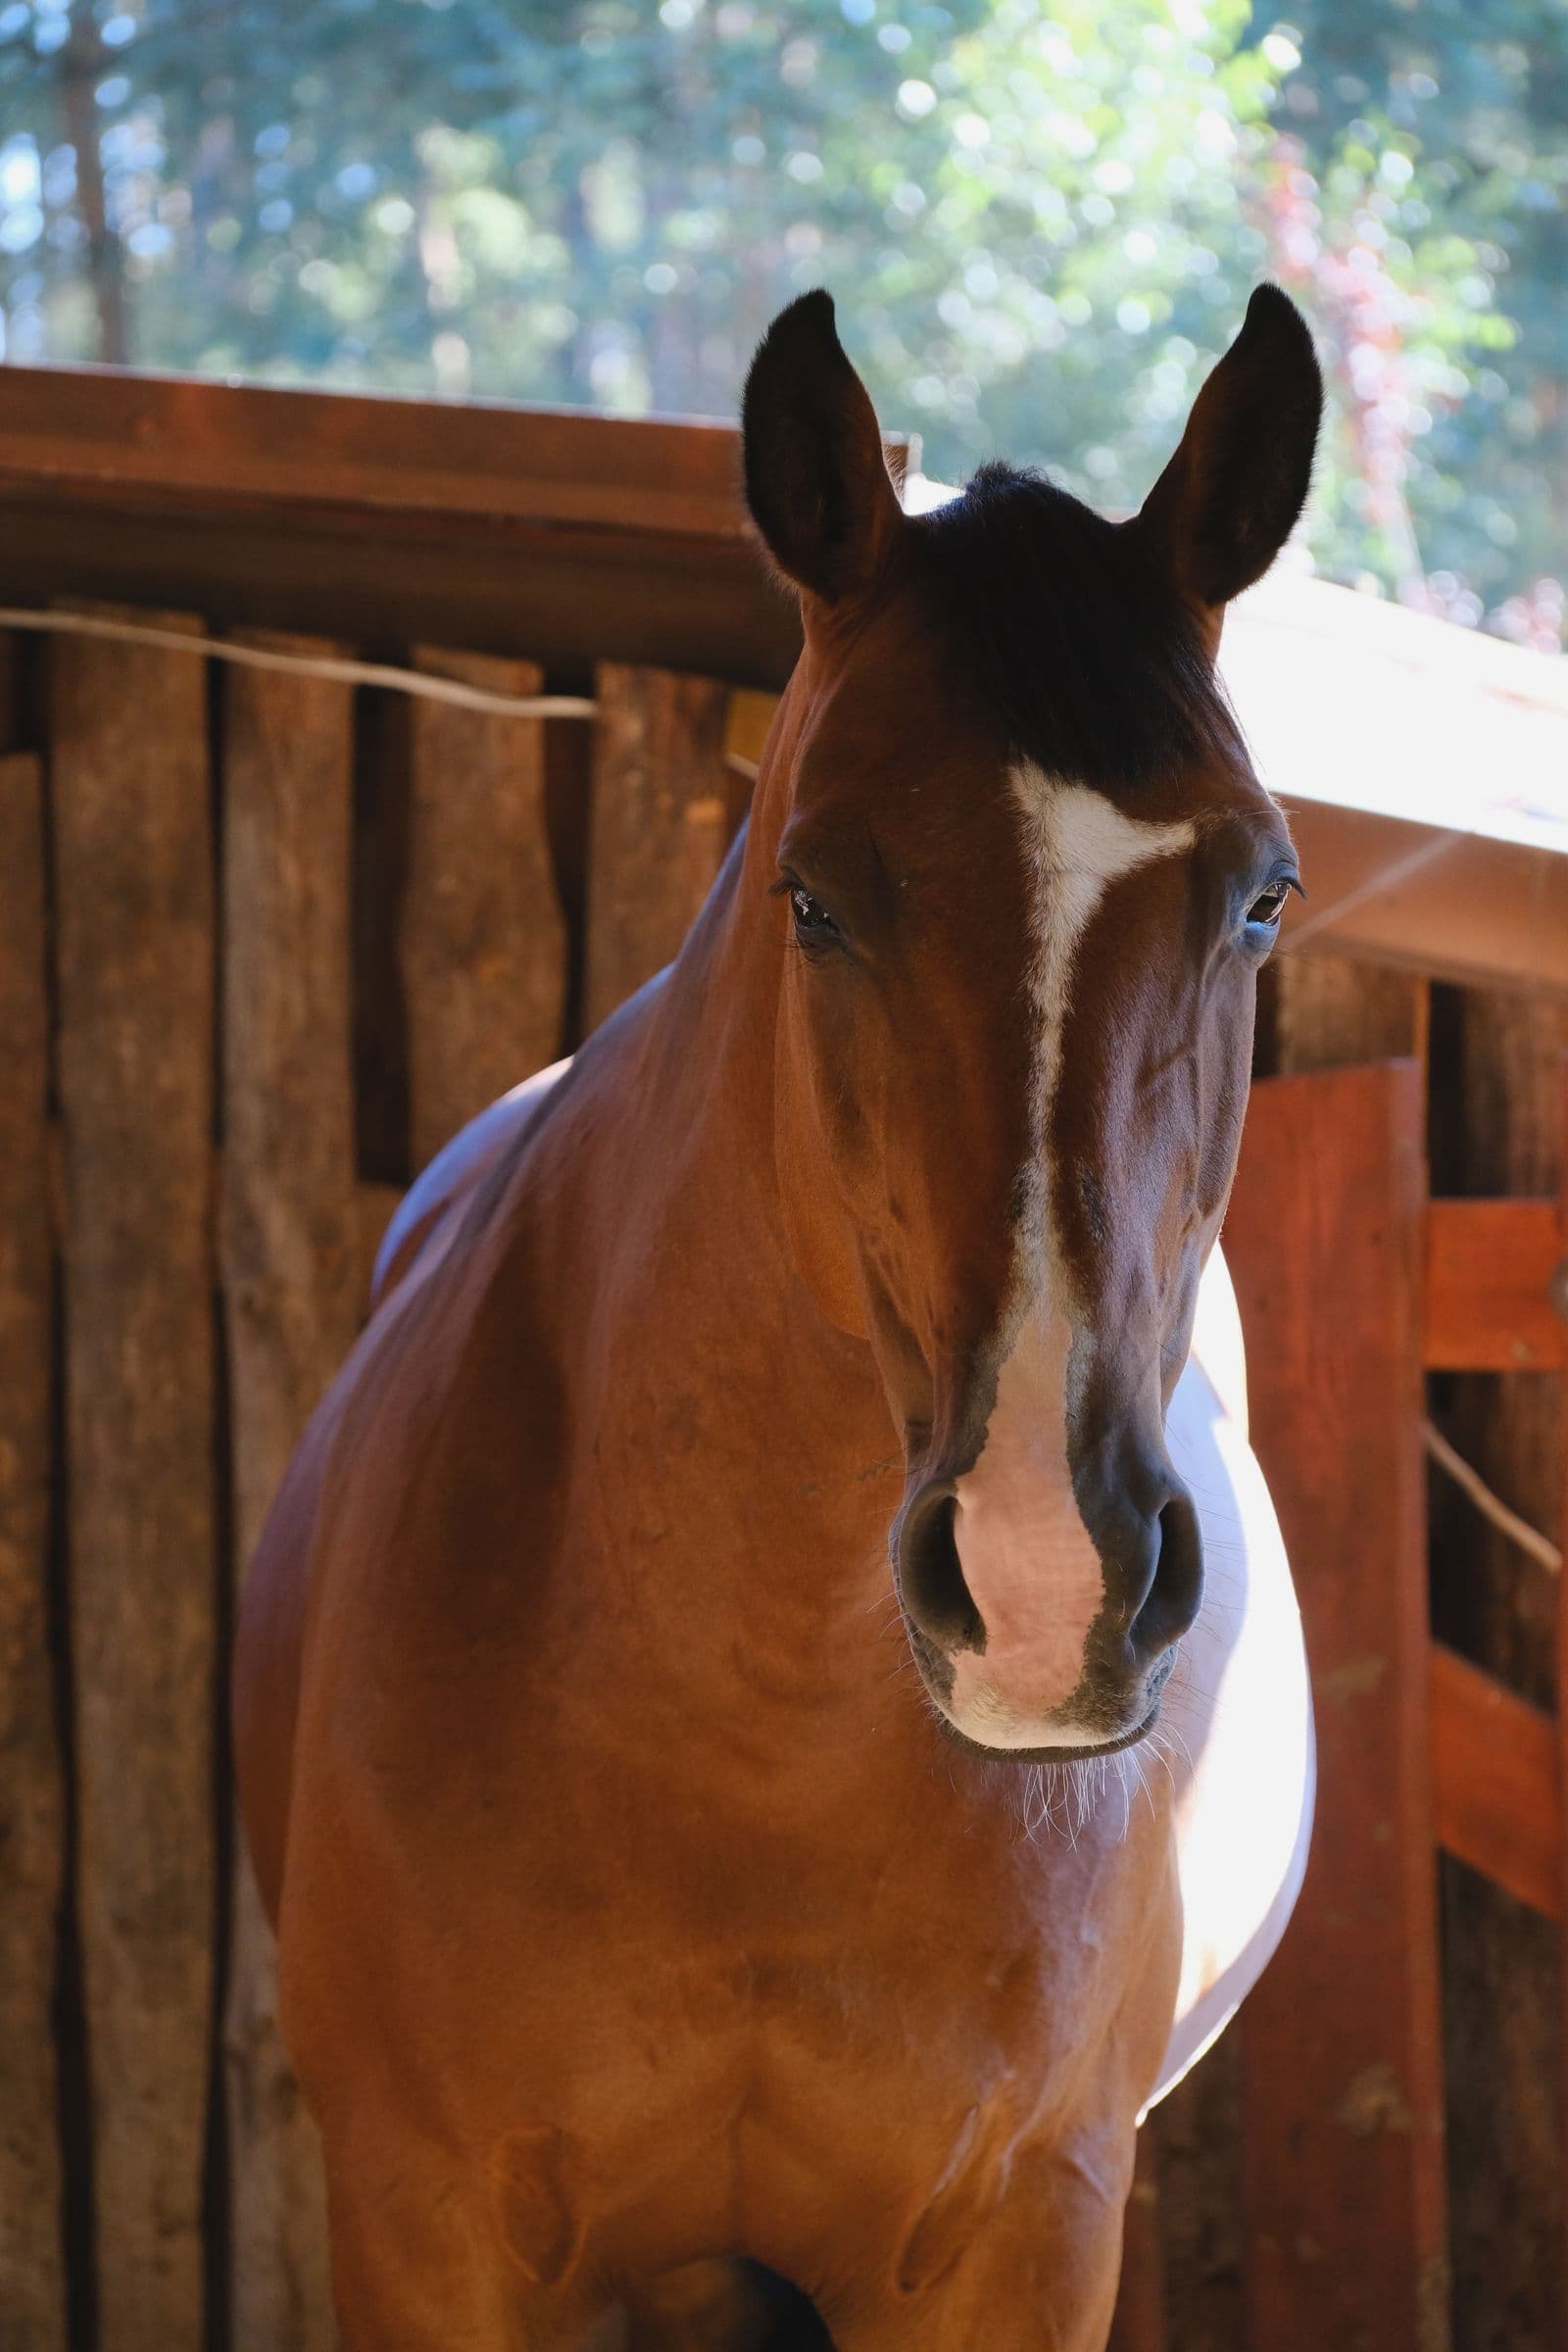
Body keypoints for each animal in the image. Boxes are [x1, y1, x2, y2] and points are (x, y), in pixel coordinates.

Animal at [234, 284, 1321, 2349]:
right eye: (814, 896)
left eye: (1261, 902)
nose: (1046, 1579)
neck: (748, 1754)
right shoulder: (422, 2225)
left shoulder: (1025, 2234)